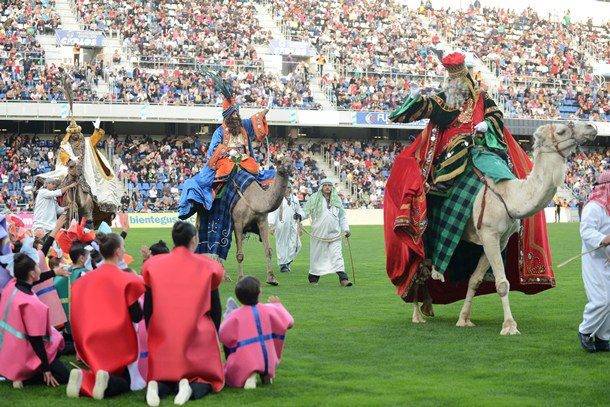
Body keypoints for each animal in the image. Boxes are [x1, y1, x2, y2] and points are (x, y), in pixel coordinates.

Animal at [410, 120, 596, 334]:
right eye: (561, 131)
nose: (591, 127)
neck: (509, 196)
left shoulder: (500, 240)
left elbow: (475, 279)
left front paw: (464, 319)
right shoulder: (489, 233)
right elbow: (502, 283)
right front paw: (509, 325)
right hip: (423, 232)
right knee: (417, 271)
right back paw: (417, 316)